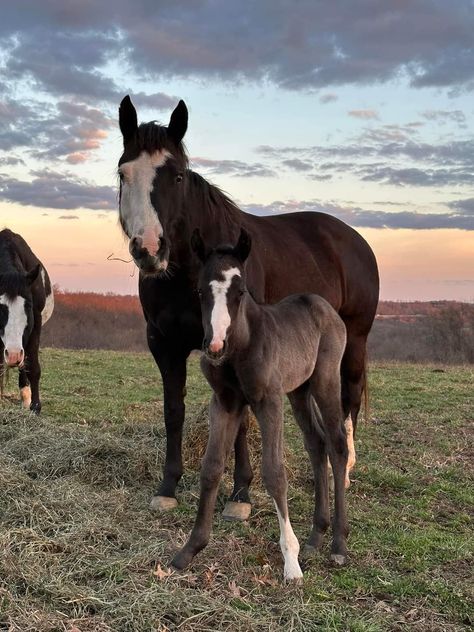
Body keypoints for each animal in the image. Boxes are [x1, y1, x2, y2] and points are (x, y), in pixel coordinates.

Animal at [119, 96, 382, 516]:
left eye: (177, 177)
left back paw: (343, 469)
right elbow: (173, 410)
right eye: (124, 174)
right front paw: (168, 487)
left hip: (354, 339)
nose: (149, 249)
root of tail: (353, 239)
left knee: (350, 395)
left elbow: (241, 422)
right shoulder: (164, 345)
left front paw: (240, 493)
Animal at [173, 230, 348, 580]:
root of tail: (324, 307)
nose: (215, 346)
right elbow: (211, 468)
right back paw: (315, 537)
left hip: (325, 381)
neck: (241, 346)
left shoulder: (268, 401)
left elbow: (274, 472)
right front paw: (190, 549)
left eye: (240, 291)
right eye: (200, 290)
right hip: (299, 391)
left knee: (337, 444)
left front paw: (291, 564)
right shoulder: (224, 403)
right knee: (316, 443)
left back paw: (338, 544)